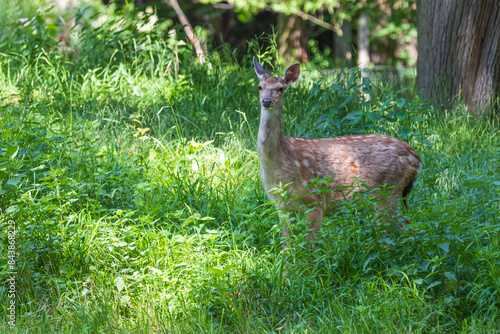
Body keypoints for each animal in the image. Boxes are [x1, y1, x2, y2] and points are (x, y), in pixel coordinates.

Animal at [254, 57, 422, 244]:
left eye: (281, 88)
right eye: (260, 87)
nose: (266, 101)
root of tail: (417, 159)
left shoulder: (315, 200)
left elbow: (309, 245)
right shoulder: (280, 206)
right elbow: (287, 245)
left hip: (388, 191)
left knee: (397, 231)